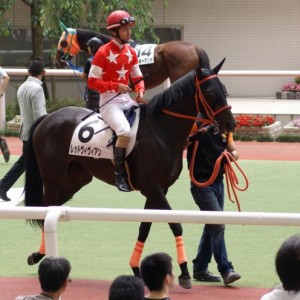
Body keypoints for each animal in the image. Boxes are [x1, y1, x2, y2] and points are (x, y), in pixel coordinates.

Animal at [24, 58, 236, 288]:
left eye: (224, 90)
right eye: (211, 93)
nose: (231, 124)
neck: (159, 130)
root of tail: (47, 117)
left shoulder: (159, 190)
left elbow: (144, 227)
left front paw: (136, 268)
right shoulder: (152, 188)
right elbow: (175, 224)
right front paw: (185, 273)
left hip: (75, 179)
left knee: (50, 209)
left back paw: (39, 255)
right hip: (53, 175)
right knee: (44, 209)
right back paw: (43, 257)